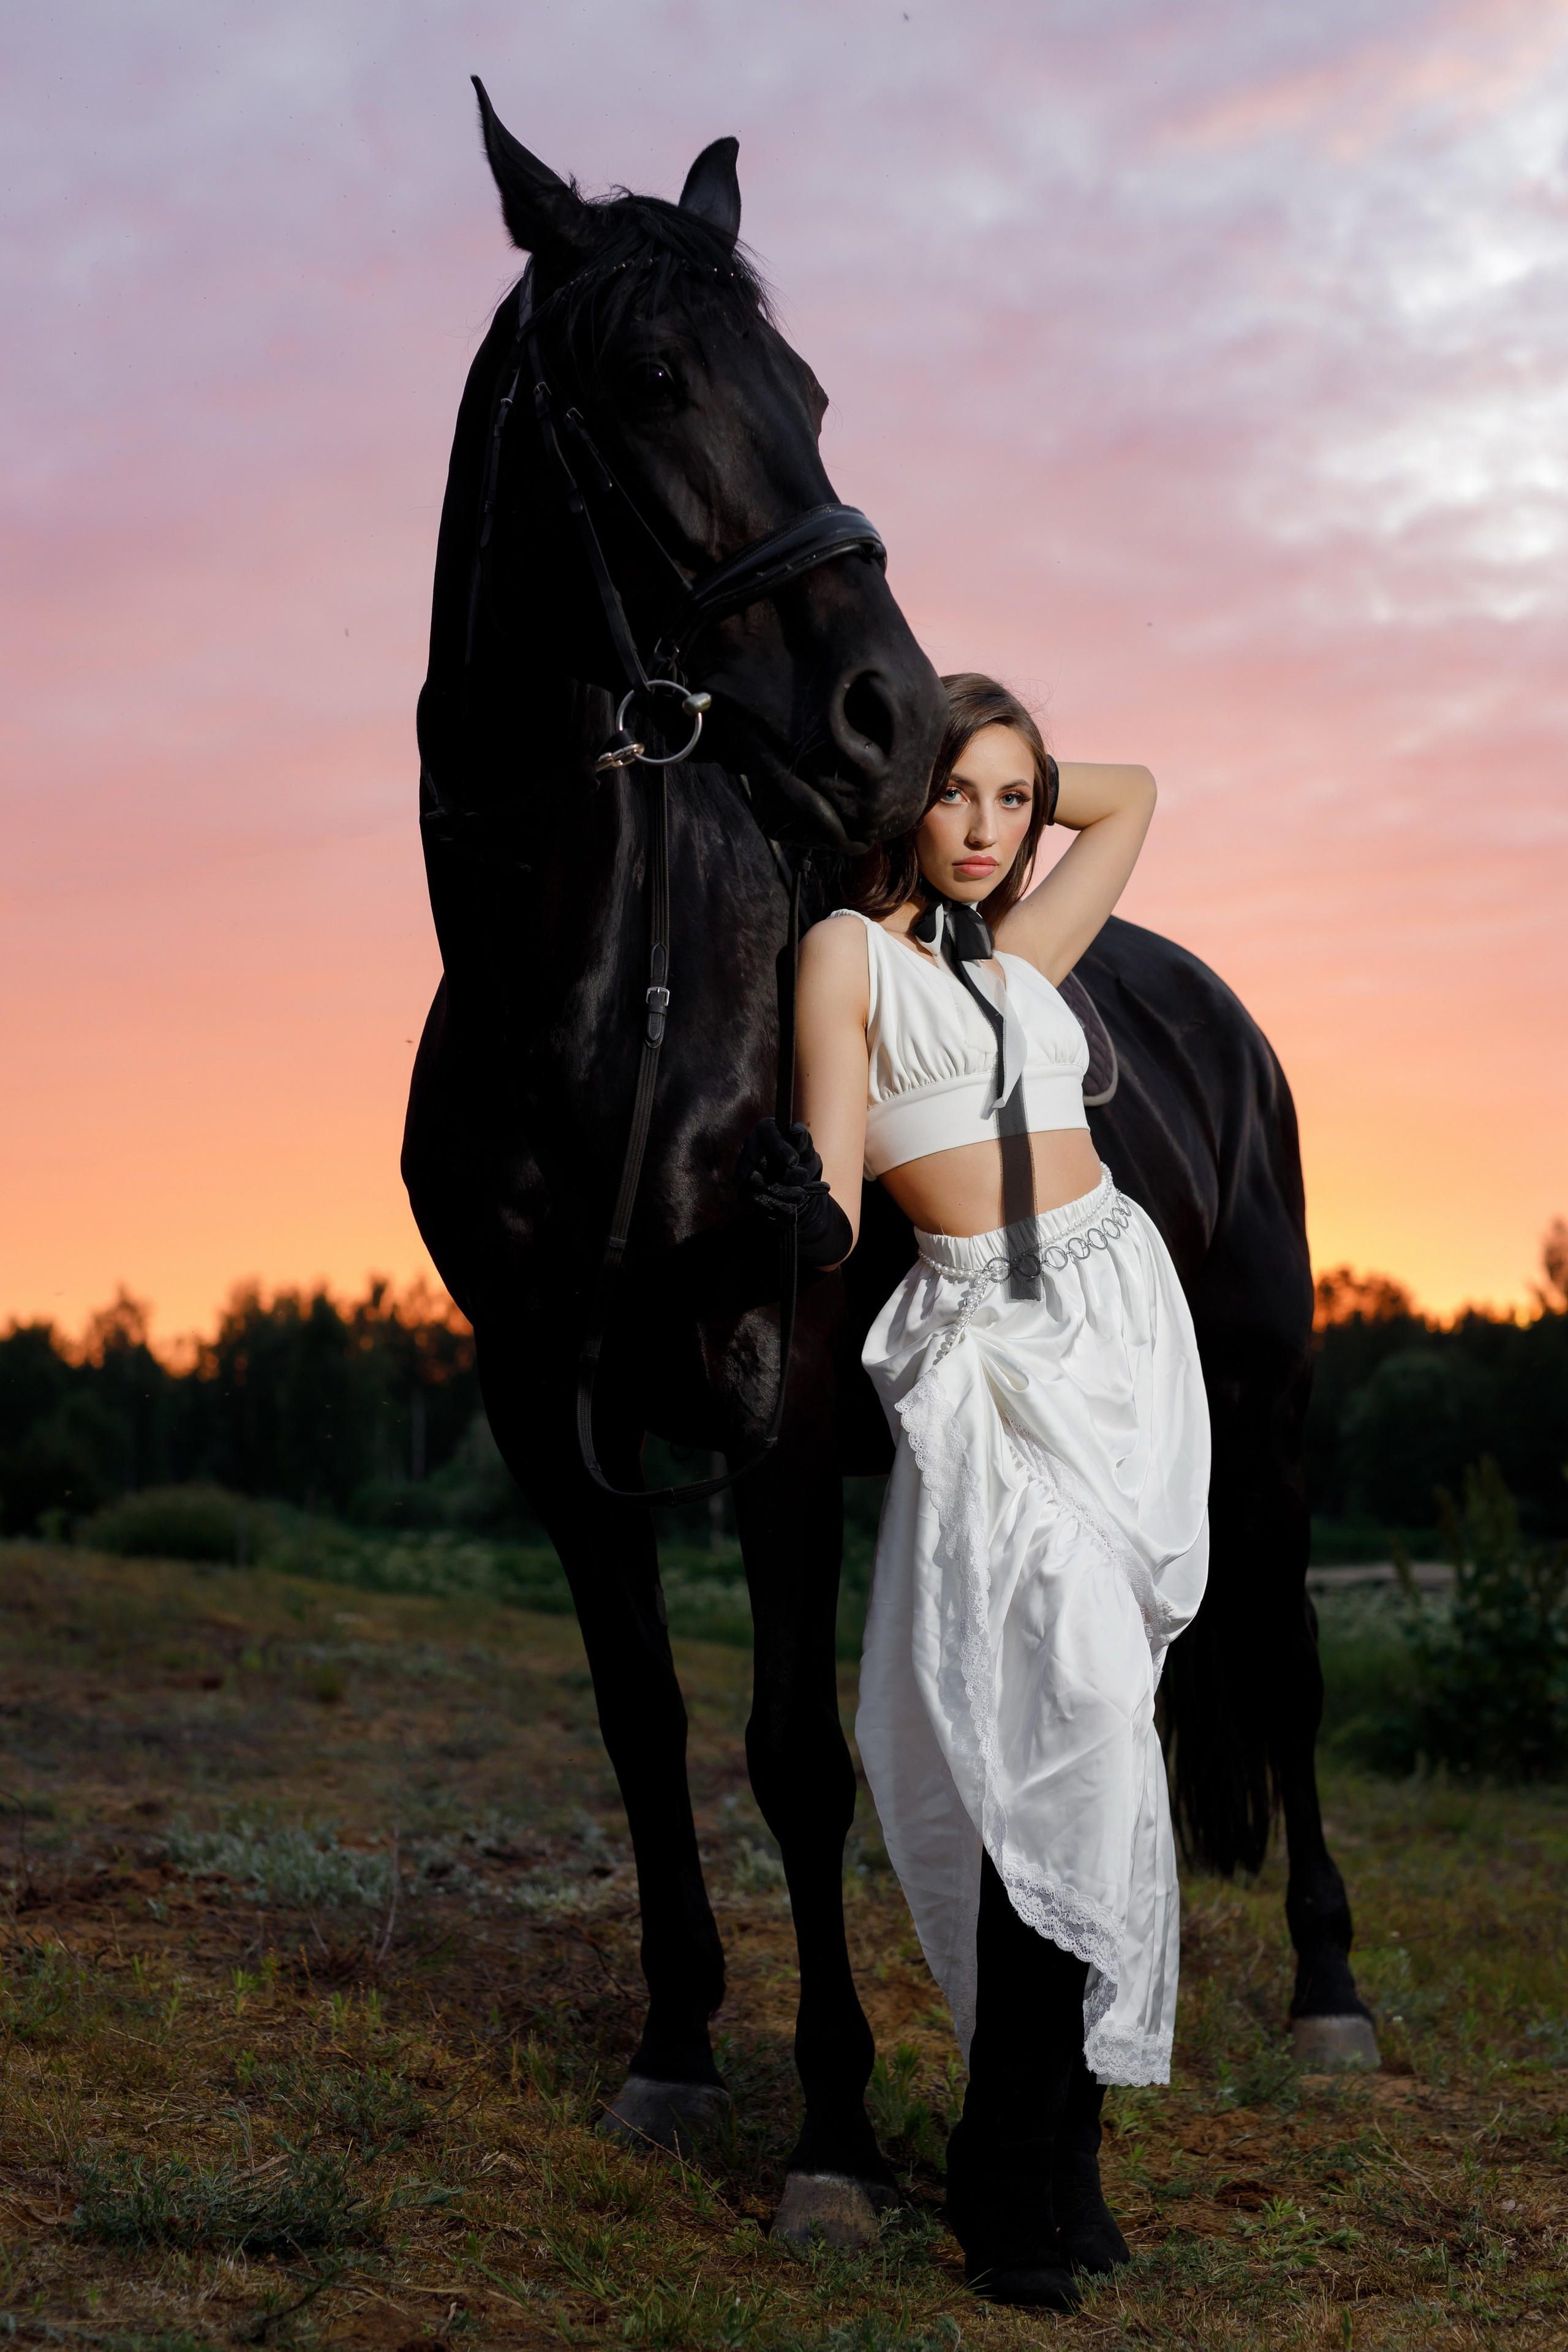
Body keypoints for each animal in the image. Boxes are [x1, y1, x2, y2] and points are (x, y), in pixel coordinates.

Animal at [403, 85, 1376, 2247]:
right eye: (654, 378)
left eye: (817, 391)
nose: (895, 719)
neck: (601, 1005)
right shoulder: (542, 1409)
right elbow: (643, 1722)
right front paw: (677, 2049)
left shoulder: (769, 1402)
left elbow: (790, 1755)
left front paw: (834, 2136)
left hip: (1269, 1409)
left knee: (1280, 1661)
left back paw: (1330, 1994)